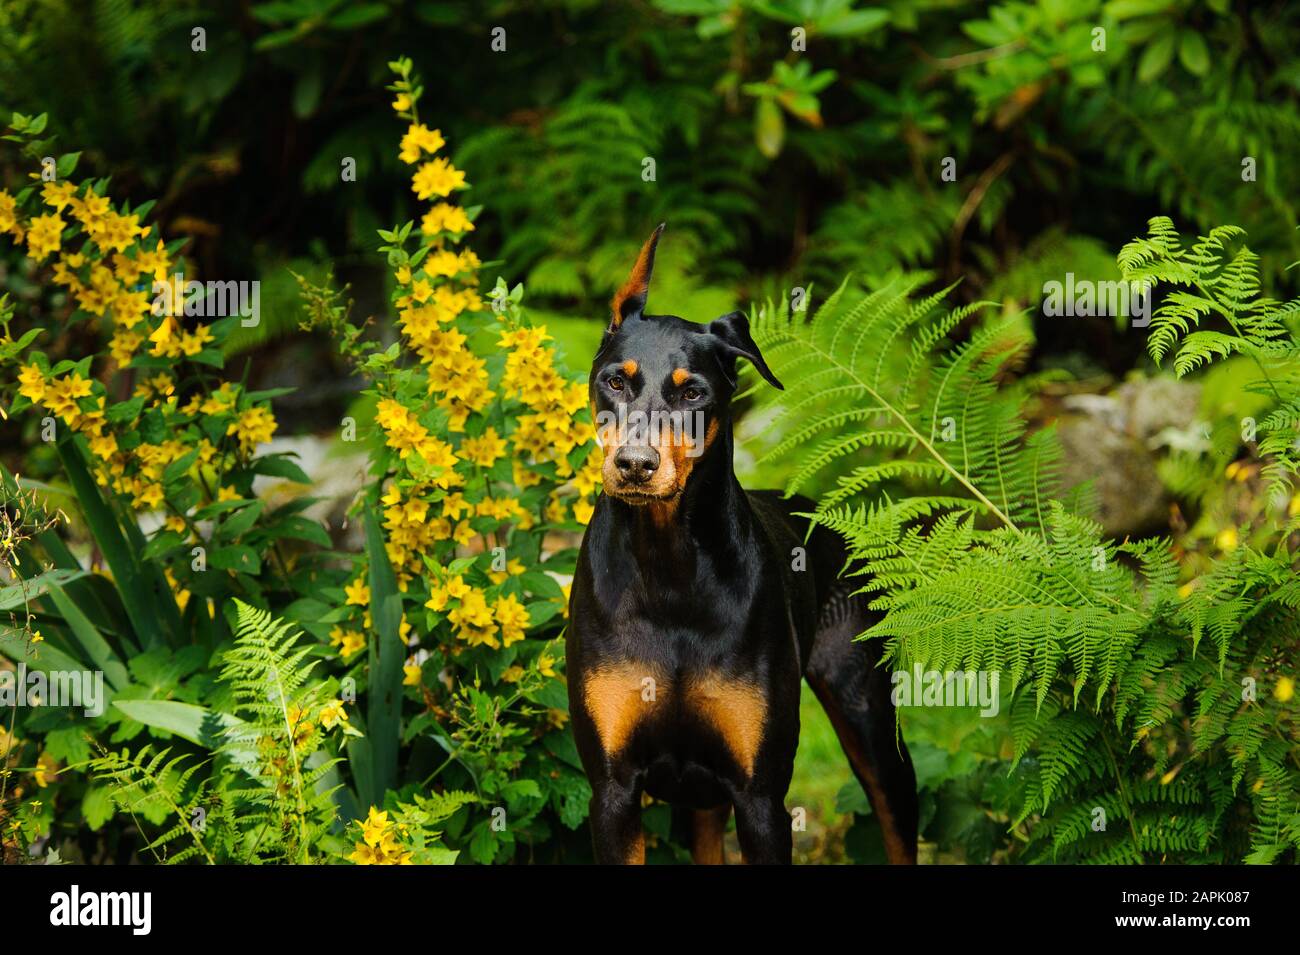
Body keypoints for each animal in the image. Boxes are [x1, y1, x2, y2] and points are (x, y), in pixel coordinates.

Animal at [564, 226, 920, 867]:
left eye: (693, 394)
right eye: (614, 381)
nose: (635, 465)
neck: (669, 567)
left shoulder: (761, 797)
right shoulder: (612, 791)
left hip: (873, 724)